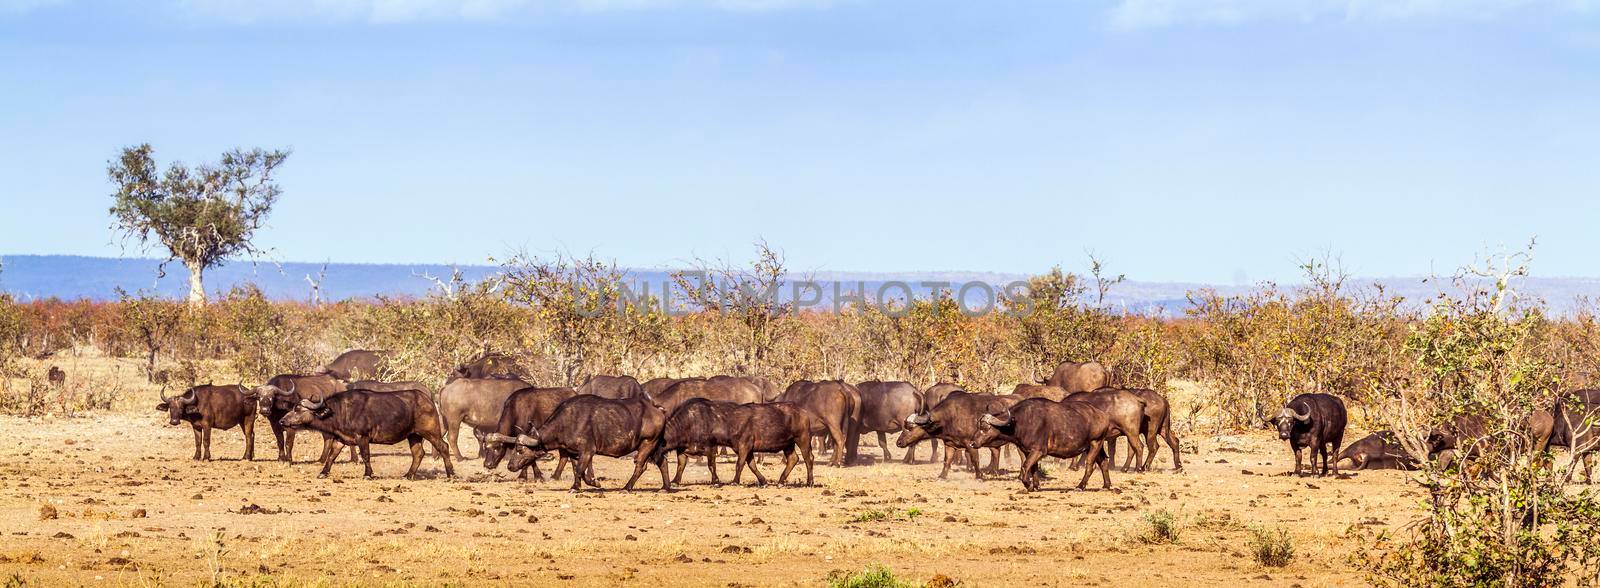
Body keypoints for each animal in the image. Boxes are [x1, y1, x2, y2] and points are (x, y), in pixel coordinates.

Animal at [278, 388, 454, 479]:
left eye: (298, 409)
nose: (282, 421)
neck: (340, 411)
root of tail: (429, 399)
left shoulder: (362, 438)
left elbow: (365, 456)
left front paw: (368, 474)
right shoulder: (340, 439)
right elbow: (331, 456)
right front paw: (323, 472)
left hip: (430, 432)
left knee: (443, 447)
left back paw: (451, 474)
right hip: (413, 435)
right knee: (418, 453)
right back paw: (408, 475)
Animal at [496, 393, 665, 495]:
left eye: (520, 449)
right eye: (515, 448)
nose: (510, 466)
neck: (566, 423)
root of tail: (657, 410)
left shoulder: (588, 451)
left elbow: (579, 470)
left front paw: (580, 486)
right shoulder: (574, 453)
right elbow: (579, 471)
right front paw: (589, 484)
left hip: (647, 443)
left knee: (640, 466)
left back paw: (626, 488)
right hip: (655, 447)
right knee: (662, 462)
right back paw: (665, 488)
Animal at [972, 394, 1113, 492]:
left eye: (985, 428)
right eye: (979, 426)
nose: (972, 443)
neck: (1019, 422)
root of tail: (1103, 415)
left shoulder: (1038, 451)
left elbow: (1025, 466)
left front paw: (1028, 486)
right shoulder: (1027, 451)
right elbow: (1033, 468)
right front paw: (1036, 486)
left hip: (1095, 443)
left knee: (1090, 465)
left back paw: (1080, 486)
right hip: (1095, 446)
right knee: (1104, 462)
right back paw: (1106, 485)